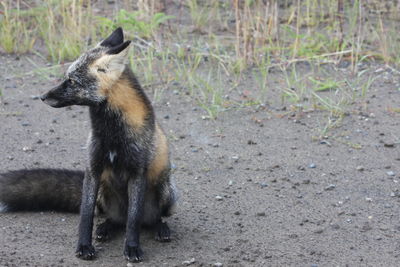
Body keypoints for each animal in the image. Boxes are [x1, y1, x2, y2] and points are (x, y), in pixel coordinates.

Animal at [0, 27, 178, 264]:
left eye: (72, 81)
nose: (43, 96)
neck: (111, 134)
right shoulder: (92, 169)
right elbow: (85, 215)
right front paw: (84, 246)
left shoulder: (137, 172)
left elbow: (133, 221)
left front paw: (132, 248)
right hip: (104, 193)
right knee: (113, 219)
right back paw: (106, 228)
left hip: (166, 192)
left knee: (148, 219)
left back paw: (160, 228)